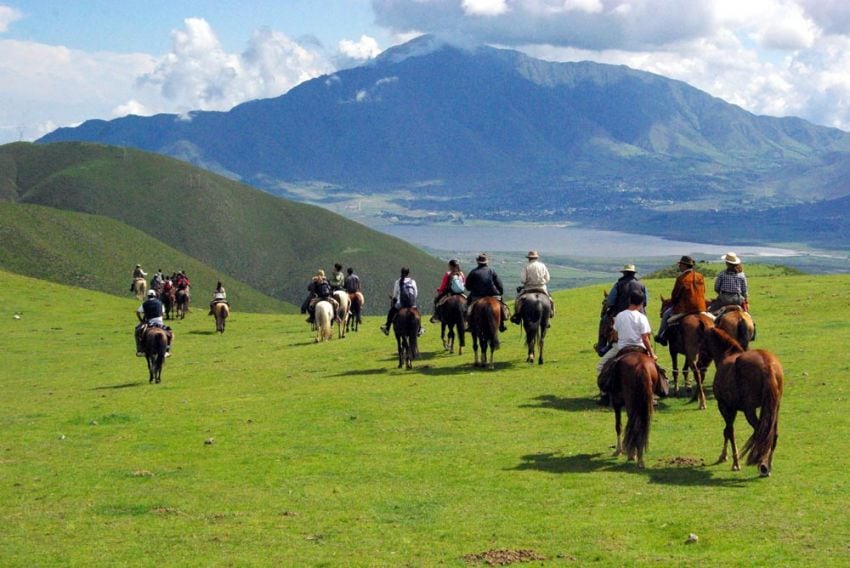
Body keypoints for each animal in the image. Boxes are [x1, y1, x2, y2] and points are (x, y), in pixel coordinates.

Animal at [696, 326, 780, 478]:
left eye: (701, 343)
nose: (698, 364)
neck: (727, 355)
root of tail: (767, 365)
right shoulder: (733, 408)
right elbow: (726, 431)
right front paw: (723, 456)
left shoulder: (724, 406)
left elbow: (729, 431)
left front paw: (735, 462)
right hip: (774, 409)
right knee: (772, 434)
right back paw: (768, 465)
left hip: (750, 411)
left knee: (761, 433)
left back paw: (763, 465)